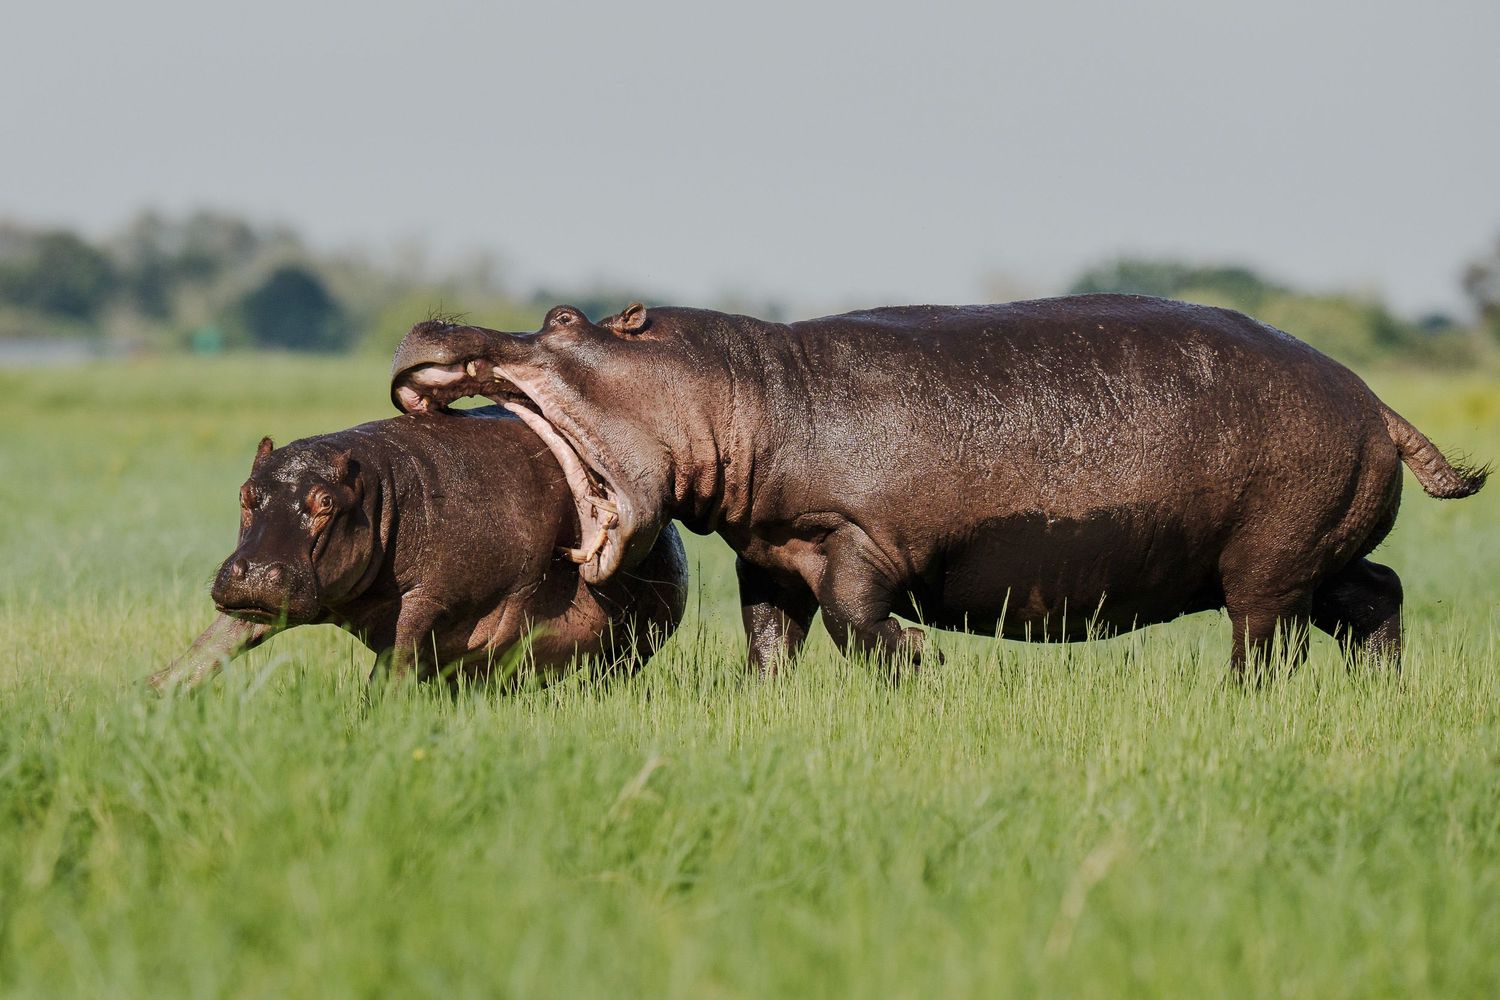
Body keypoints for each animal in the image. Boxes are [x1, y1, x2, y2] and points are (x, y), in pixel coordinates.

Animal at [149, 407, 688, 692]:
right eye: (245, 492)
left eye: (326, 502)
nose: (259, 571)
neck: (376, 490)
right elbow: (209, 649)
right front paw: (149, 694)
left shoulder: (428, 596)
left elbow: (394, 663)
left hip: (628, 648)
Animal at [388, 295, 1487, 679]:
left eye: (565, 318)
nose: (432, 322)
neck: (741, 386)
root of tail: (1376, 400)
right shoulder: (770, 554)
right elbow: (771, 637)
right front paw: (763, 701)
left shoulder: (853, 538)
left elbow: (854, 620)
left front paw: (923, 661)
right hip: (1315, 552)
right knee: (1376, 596)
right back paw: (1382, 691)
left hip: (1267, 562)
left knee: (1269, 645)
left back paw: (1243, 701)